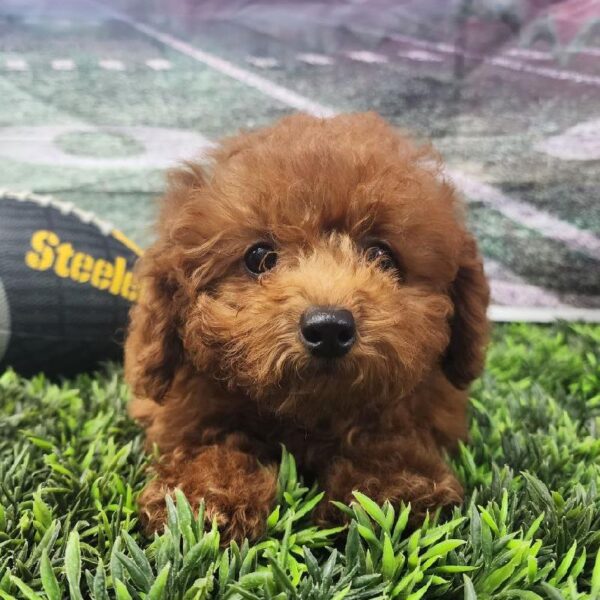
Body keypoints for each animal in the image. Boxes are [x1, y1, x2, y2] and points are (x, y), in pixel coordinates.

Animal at [124, 112, 490, 544]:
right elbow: (208, 441)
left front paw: (394, 489)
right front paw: (203, 494)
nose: (329, 328)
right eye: (259, 257)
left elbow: (389, 430)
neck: (308, 413)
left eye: (382, 256)